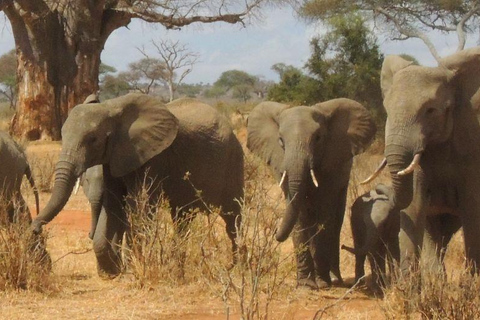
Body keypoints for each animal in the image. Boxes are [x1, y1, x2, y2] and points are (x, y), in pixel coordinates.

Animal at [31, 93, 244, 278]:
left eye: (93, 139)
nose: (34, 229)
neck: (111, 108)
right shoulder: (113, 159)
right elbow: (113, 206)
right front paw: (113, 272)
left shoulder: (152, 157)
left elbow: (140, 207)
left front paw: (135, 270)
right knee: (182, 218)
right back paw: (180, 267)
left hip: (234, 159)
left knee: (232, 217)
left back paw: (234, 268)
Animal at [248, 99, 378, 288]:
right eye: (280, 141)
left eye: (317, 138)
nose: (274, 233)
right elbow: (299, 216)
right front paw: (306, 285)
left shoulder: (331, 166)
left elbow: (323, 215)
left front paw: (322, 283)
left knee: (335, 221)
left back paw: (334, 279)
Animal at [378, 47, 480, 272]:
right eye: (387, 110)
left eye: (430, 110)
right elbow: (414, 207)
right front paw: (408, 283)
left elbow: (472, 212)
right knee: (434, 233)